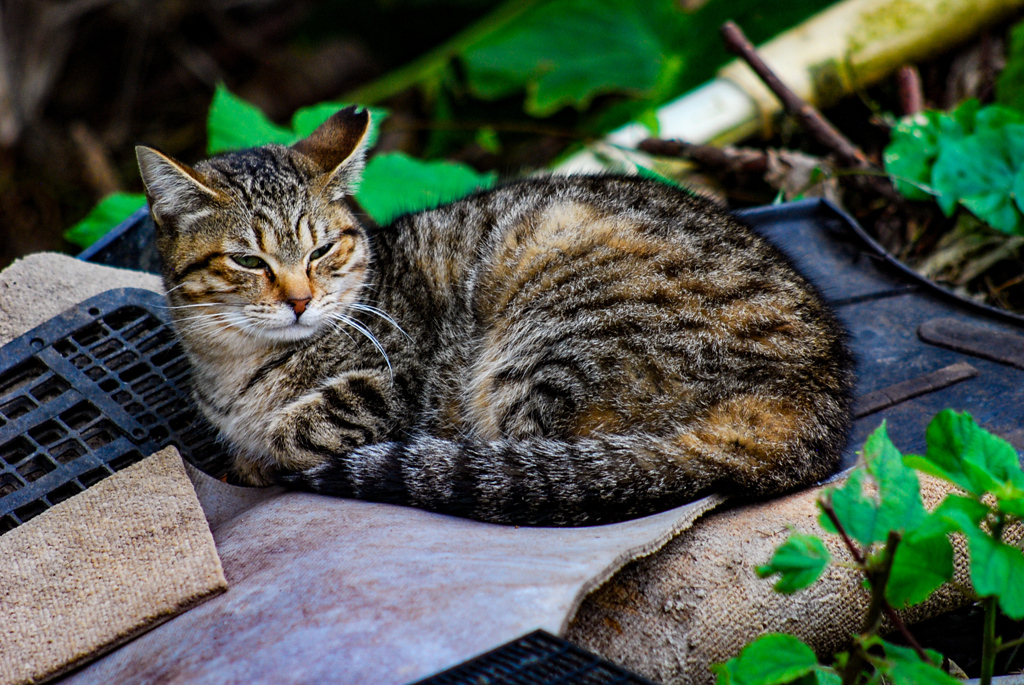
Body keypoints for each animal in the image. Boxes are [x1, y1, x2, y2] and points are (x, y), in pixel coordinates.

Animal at [138, 106, 856, 528]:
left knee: (538, 467)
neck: (233, 367)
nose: (298, 299)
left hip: (545, 339)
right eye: (247, 260)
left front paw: (261, 453)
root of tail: (816, 407)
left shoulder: (394, 386)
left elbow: (291, 429)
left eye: (320, 250)